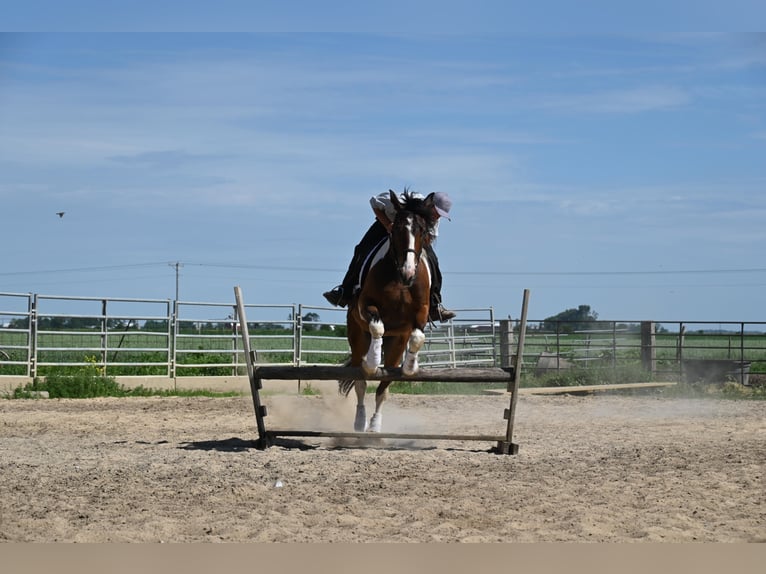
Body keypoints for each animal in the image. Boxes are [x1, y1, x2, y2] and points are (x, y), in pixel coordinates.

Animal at [338, 191, 436, 434]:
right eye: (397, 229)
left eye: (422, 230)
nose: (408, 272)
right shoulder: (365, 306)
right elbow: (377, 326)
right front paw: (373, 361)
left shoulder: (421, 313)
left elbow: (418, 336)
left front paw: (411, 367)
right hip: (357, 337)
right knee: (360, 381)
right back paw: (360, 421)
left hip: (395, 345)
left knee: (384, 387)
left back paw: (375, 425)